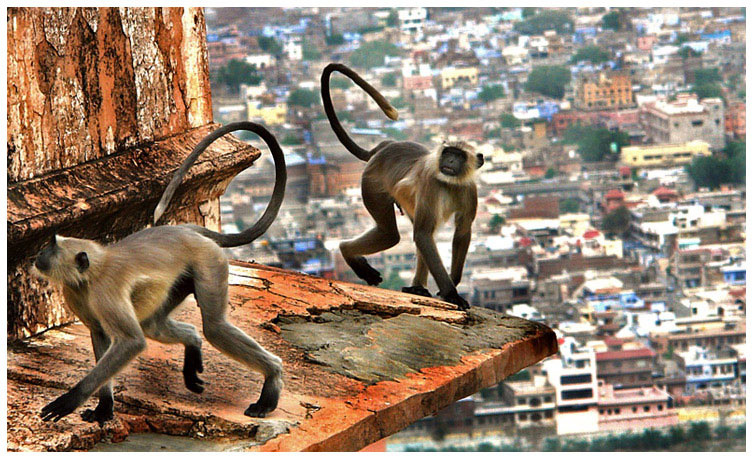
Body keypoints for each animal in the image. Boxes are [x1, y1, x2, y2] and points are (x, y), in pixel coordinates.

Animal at [33, 122, 287, 424]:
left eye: (52, 247)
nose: (39, 255)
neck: (92, 272)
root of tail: (186, 230)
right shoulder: (76, 294)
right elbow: (100, 335)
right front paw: (104, 407)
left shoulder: (105, 291)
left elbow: (131, 342)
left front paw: (70, 400)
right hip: (178, 280)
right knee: (156, 325)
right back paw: (192, 342)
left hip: (208, 261)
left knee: (214, 327)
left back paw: (272, 377)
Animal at [321, 63, 484, 310]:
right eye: (448, 152)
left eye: (460, 156)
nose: (449, 161)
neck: (450, 183)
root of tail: (383, 148)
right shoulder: (430, 183)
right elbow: (424, 235)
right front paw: (452, 293)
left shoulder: (469, 190)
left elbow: (461, 232)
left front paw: (453, 281)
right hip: (372, 183)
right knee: (392, 234)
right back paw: (347, 252)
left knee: (418, 233)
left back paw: (417, 287)